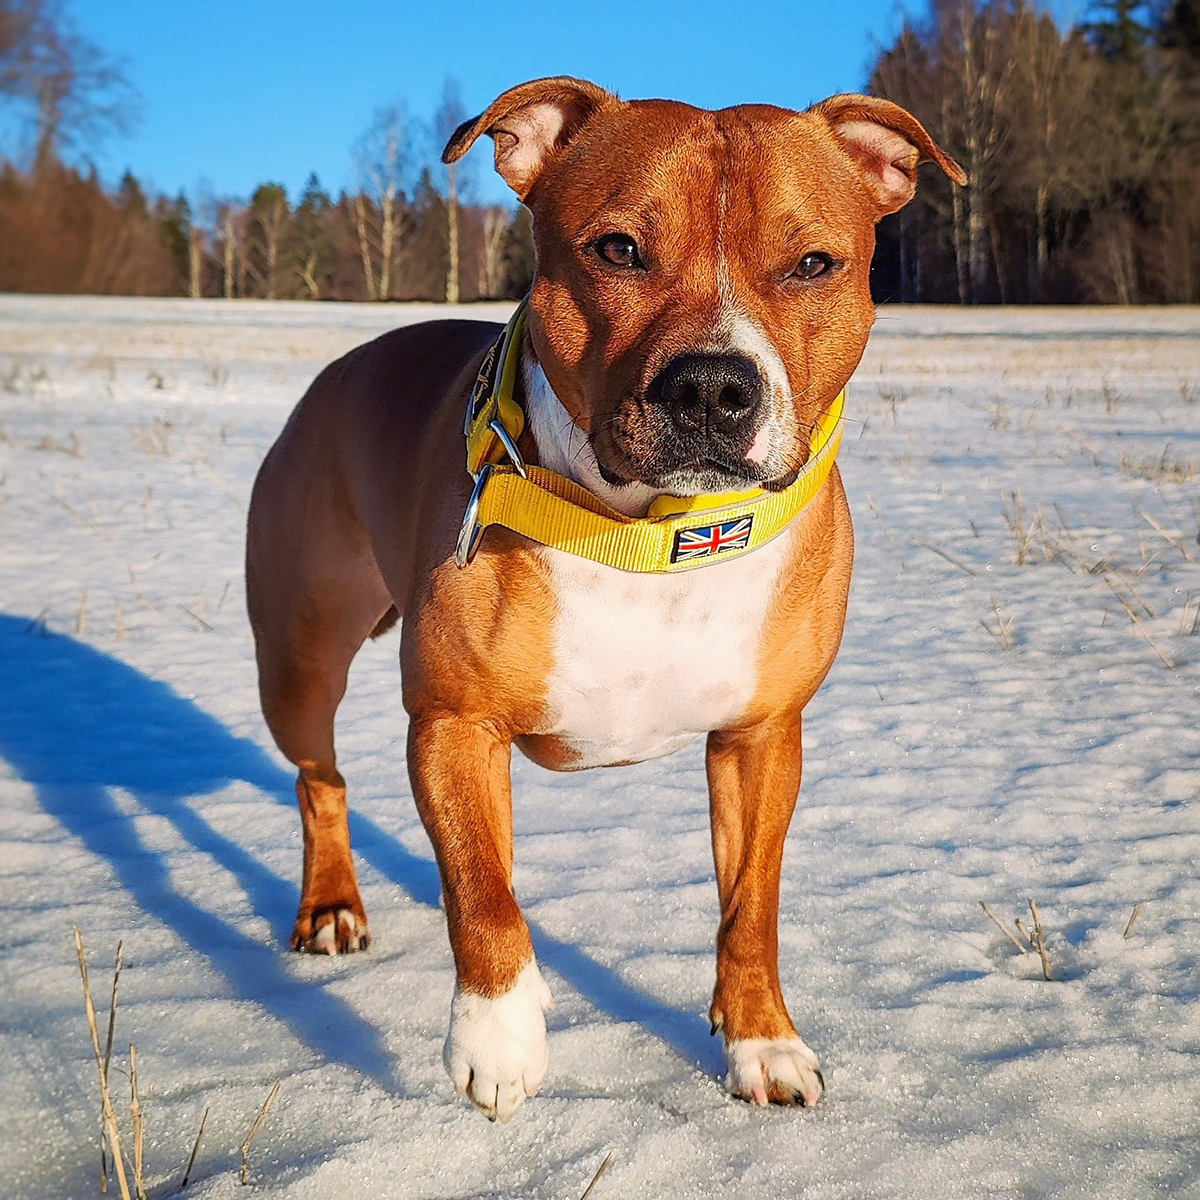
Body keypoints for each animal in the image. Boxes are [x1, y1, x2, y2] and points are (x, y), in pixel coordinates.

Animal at [246, 77, 964, 1123]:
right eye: (618, 249)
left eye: (813, 264)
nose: (712, 388)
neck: (652, 537)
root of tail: (340, 368)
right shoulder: (455, 722)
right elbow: (482, 891)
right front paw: (498, 1036)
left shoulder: (762, 733)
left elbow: (751, 903)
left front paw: (763, 1041)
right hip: (299, 658)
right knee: (319, 777)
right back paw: (334, 906)